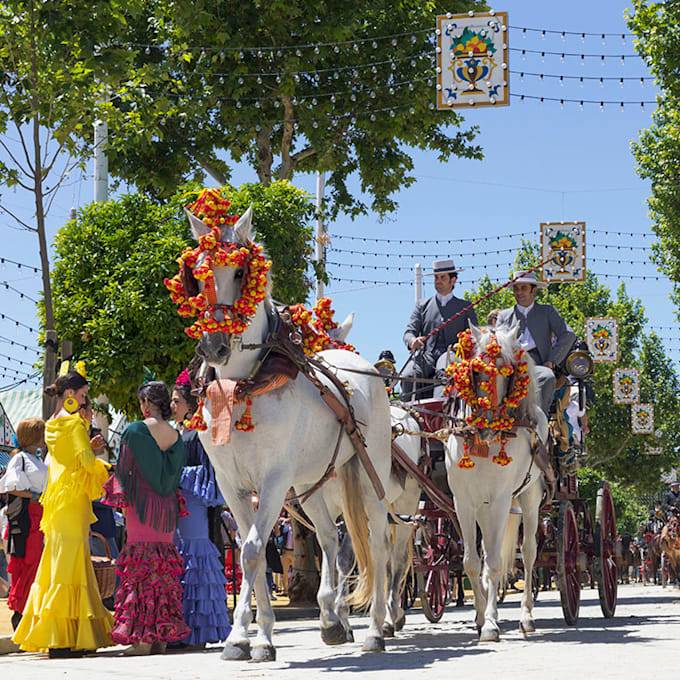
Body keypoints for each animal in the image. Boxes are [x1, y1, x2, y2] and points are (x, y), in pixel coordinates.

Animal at [191, 207, 394, 660]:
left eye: (241, 272)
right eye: (197, 274)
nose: (213, 346)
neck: (242, 387)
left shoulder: (273, 480)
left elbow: (252, 550)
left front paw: (247, 636)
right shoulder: (231, 485)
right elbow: (249, 554)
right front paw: (251, 637)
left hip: (369, 474)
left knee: (377, 544)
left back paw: (374, 630)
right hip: (310, 485)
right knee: (330, 540)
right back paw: (331, 620)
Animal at [446, 326, 548, 640]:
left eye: (508, 371)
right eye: (476, 371)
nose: (487, 424)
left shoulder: (501, 500)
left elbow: (493, 562)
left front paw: (490, 623)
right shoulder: (463, 503)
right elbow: (471, 561)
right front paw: (480, 616)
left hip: (528, 499)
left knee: (528, 552)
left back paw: (526, 617)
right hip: (483, 506)